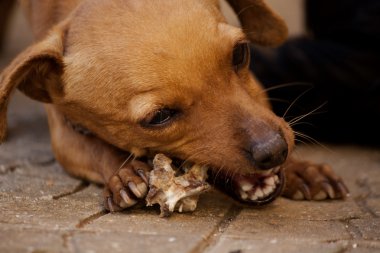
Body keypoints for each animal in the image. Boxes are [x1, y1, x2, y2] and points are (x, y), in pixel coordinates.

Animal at [1, 0, 348, 211]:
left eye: (240, 53)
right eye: (159, 117)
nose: (274, 151)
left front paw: (301, 169)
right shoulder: (62, 133)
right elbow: (94, 148)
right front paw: (124, 173)